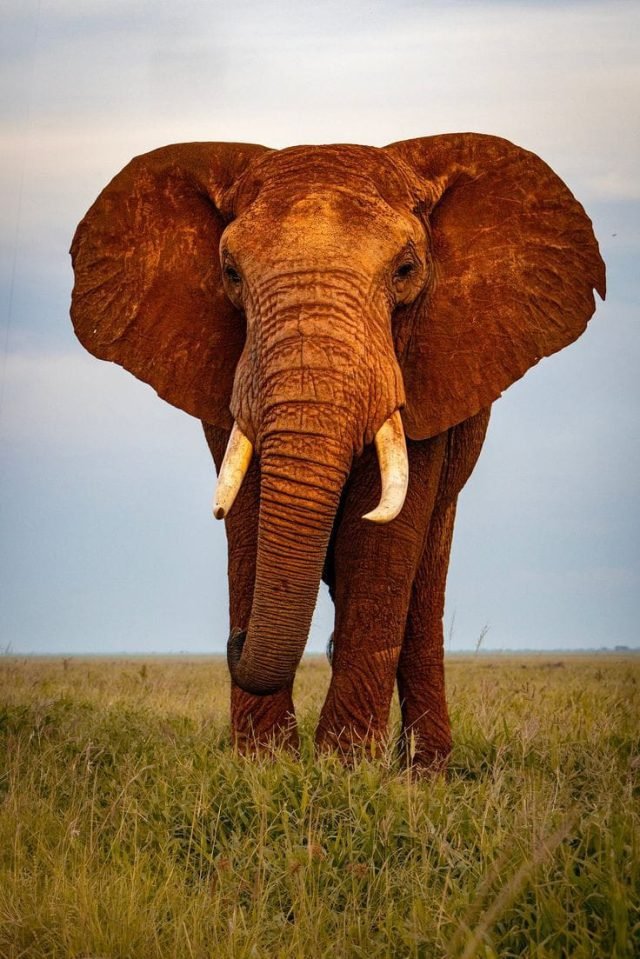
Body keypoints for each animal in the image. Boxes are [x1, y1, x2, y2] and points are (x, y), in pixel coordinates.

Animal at [70, 133, 605, 769]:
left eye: (406, 271)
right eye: (230, 273)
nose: (235, 639)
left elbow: (379, 545)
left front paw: (345, 766)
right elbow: (248, 524)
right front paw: (265, 763)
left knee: (425, 585)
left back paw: (427, 772)